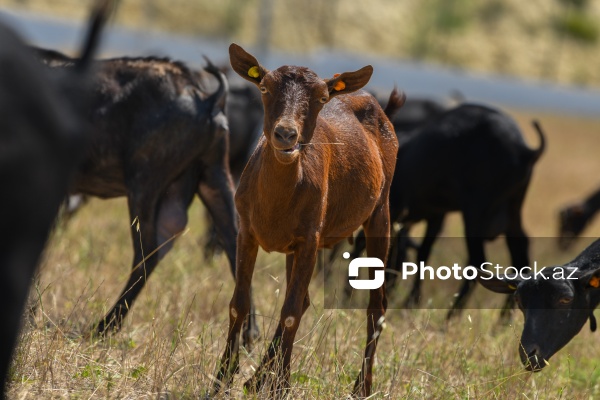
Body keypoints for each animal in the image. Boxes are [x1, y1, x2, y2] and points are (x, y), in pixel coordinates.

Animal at [212, 44, 404, 396]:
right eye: (264, 87)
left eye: (321, 97)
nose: (286, 134)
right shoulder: (247, 231)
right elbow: (240, 304)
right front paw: (223, 379)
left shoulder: (310, 239)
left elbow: (289, 313)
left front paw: (280, 387)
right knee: (302, 300)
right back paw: (256, 380)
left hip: (380, 213)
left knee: (376, 307)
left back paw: (362, 387)